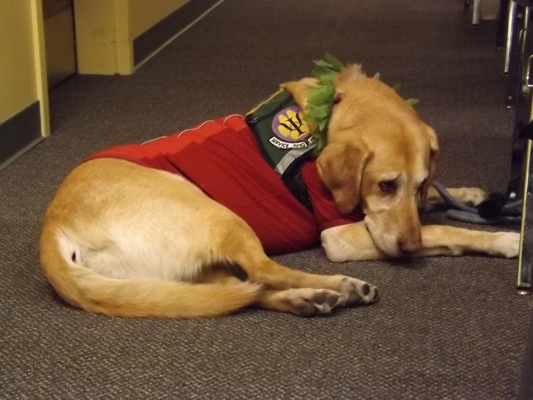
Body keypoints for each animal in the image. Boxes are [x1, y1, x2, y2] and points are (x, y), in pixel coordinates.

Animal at [39, 67, 516, 320]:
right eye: (385, 185)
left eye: (418, 183)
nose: (409, 247)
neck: (330, 116)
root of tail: (53, 227)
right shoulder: (341, 234)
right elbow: (443, 233)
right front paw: (504, 238)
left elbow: (436, 209)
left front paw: (469, 195)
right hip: (216, 211)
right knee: (264, 271)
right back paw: (339, 287)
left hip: (183, 273)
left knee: (242, 288)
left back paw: (309, 299)